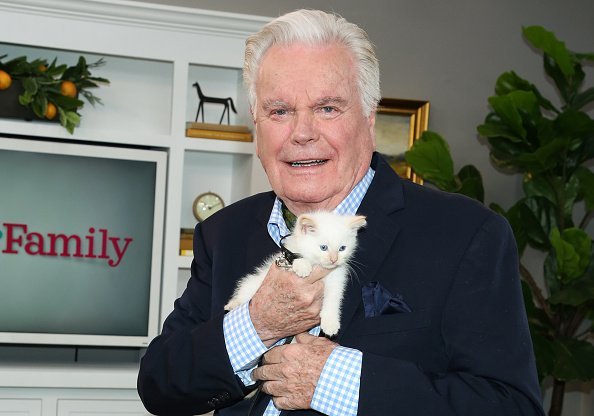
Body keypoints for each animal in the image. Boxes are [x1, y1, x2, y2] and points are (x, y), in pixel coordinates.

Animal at [222, 213, 364, 336]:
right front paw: (302, 265)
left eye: (342, 248)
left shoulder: (337, 278)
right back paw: (233, 304)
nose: (334, 260)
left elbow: (334, 297)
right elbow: (295, 257)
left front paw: (330, 322)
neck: (317, 264)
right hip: (253, 283)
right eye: (323, 247)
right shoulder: (285, 260)